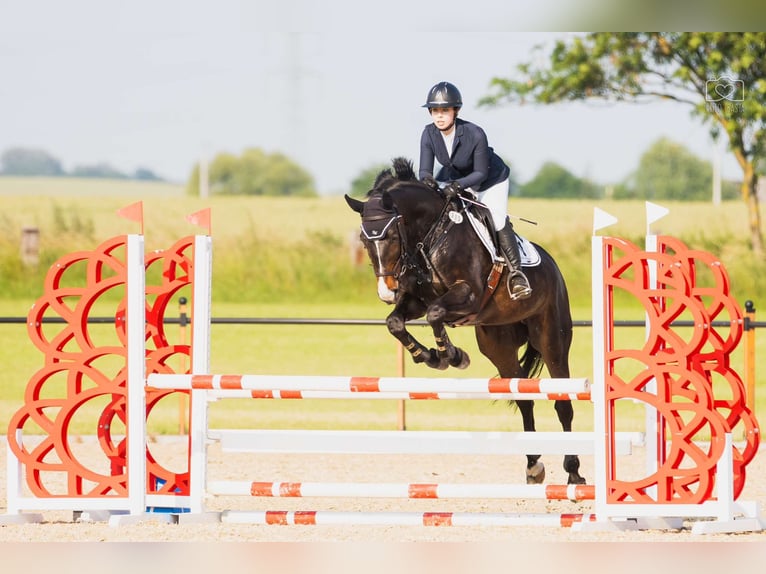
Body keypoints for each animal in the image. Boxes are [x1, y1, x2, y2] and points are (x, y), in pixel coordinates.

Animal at [344, 156, 584, 486]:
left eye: (391, 236)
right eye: (363, 239)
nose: (386, 291)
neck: (430, 236)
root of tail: (553, 266)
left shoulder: (467, 295)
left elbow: (435, 315)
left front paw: (452, 356)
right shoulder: (416, 301)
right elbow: (396, 323)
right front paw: (430, 356)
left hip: (552, 339)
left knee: (562, 401)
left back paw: (574, 472)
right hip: (499, 346)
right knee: (523, 397)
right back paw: (533, 466)